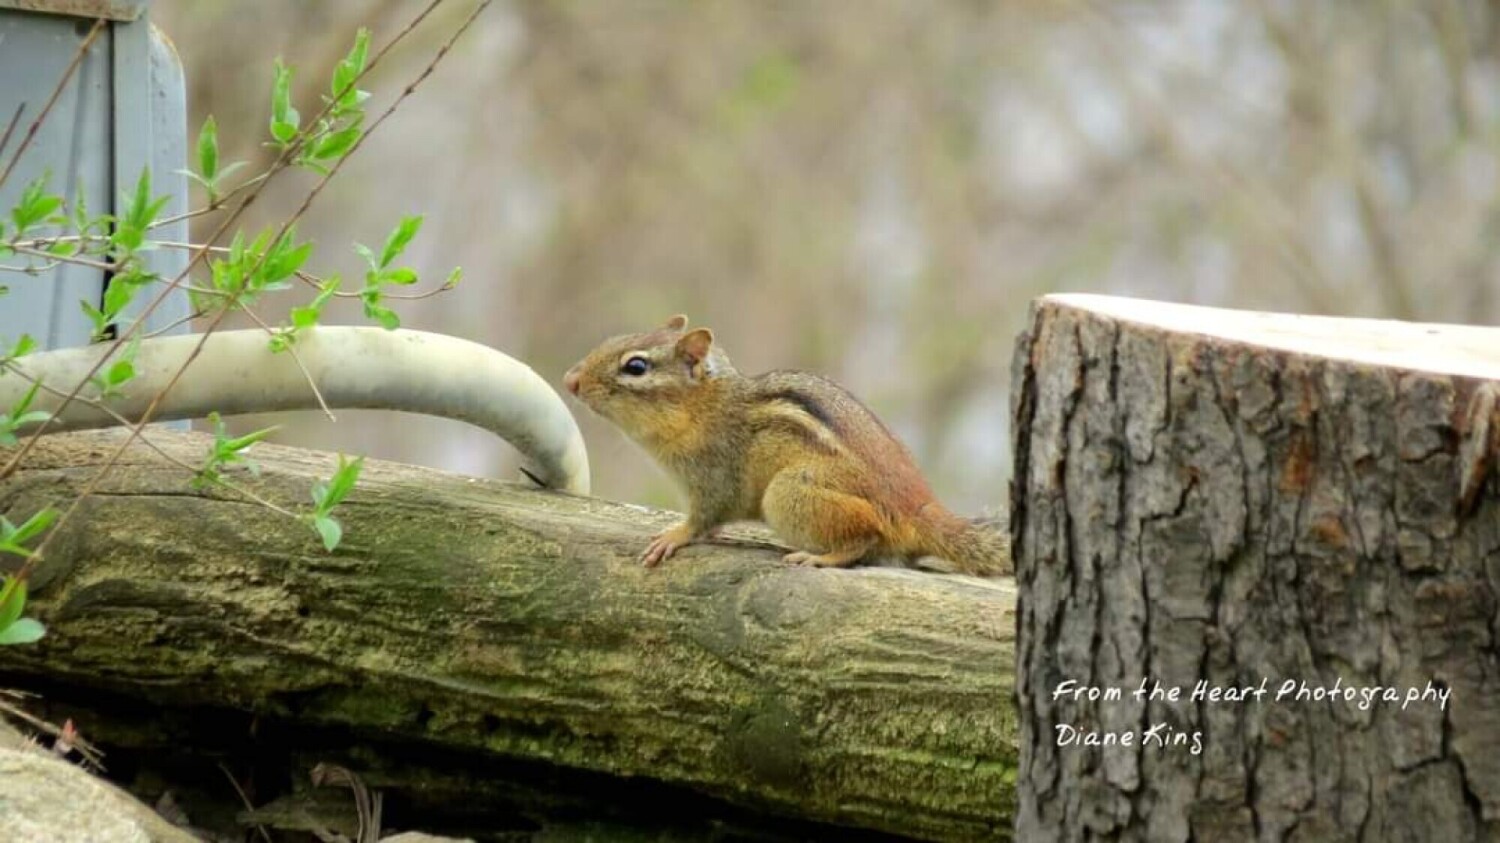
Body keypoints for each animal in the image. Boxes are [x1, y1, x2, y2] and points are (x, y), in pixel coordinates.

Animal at [562, 315, 1010, 576]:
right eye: (616, 338)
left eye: (635, 366)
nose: (570, 380)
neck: (706, 406)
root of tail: (917, 507)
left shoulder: (715, 474)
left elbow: (704, 517)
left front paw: (674, 536)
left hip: (788, 492)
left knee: (864, 538)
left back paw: (819, 557)